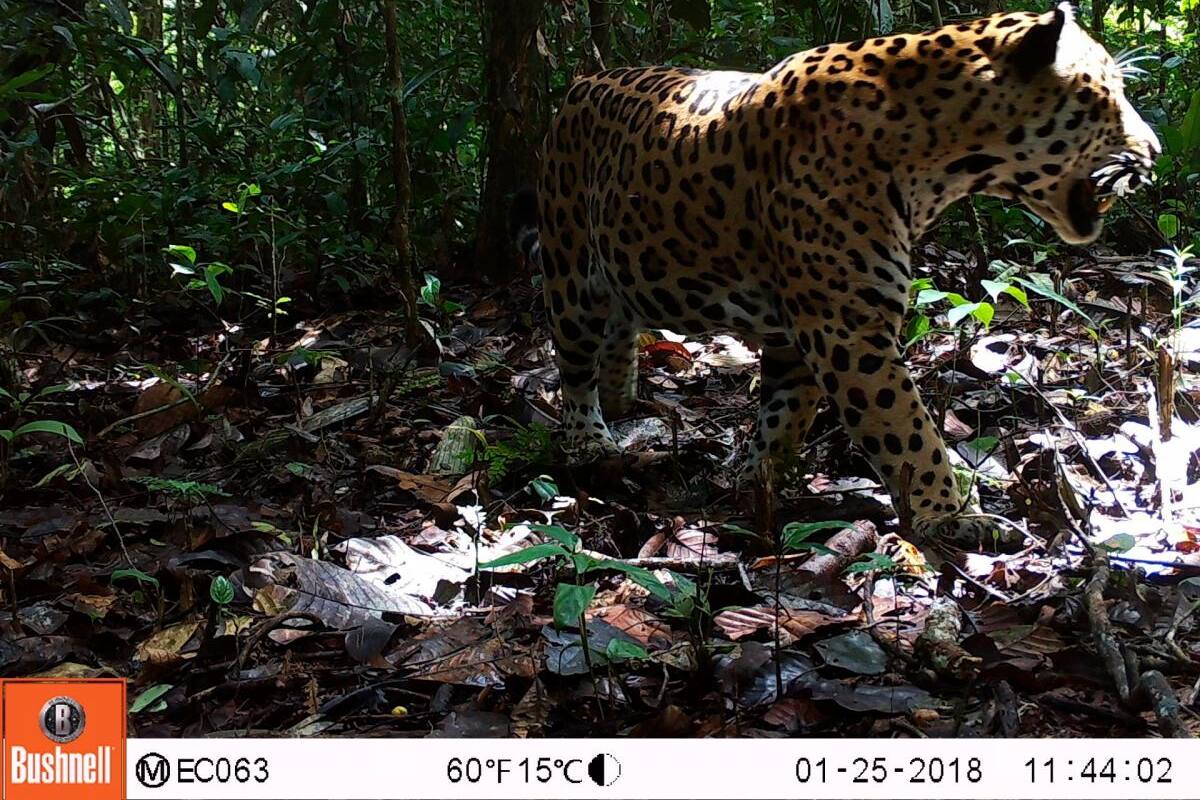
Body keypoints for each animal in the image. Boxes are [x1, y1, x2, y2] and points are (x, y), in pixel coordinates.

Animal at [509, 3, 1159, 550]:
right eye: (1108, 96)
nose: (1154, 150)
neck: (940, 155)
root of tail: (582, 82)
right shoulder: (848, 331)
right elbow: (909, 430)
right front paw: (951, 516)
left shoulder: (800, 336)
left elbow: (782, 418)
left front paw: (754, 477)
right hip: (569, 266)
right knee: (573, 363)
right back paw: (591, 438)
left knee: (620, 322)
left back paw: (623, 395)